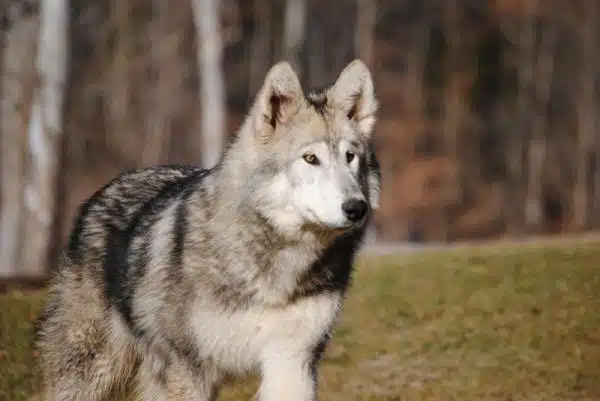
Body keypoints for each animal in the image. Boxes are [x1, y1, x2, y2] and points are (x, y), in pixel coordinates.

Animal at [34, 59, 380, 400]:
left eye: (350, 157)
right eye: (311, 158)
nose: (356, 208)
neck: (275, 266)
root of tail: (105, 189)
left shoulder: (293, 363)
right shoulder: (187, 370)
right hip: (92, 372)